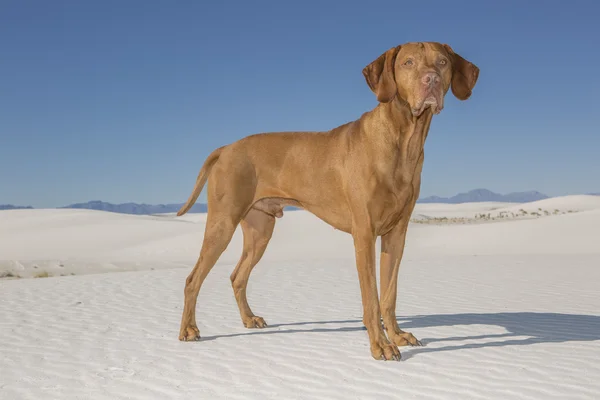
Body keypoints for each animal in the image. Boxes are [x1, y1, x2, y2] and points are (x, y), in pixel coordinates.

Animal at [177, 42, 478, 360]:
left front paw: (396, 335)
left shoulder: (396, 235)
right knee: (192, 279)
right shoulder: (364, 234)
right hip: (222, 224)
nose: (431, 80)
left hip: (260, 230)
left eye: (442, 62)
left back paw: (249, 319)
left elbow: (389, 294)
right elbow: (371, 298)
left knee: (237, 276)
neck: (403, 140)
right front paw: (381, 344)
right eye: (407, 63)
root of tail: (225, 148)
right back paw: (188, 330)